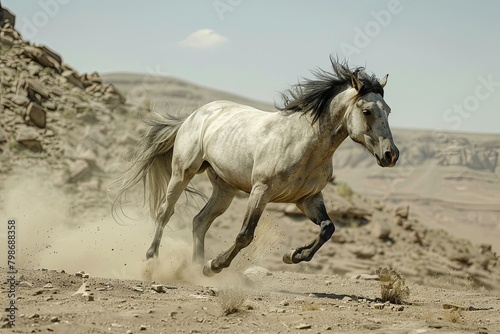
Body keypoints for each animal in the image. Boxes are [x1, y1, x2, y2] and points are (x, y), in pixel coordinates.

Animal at [112, 56, 398, 276]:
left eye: (388, 110)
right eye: (366, 111)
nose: (391, 155)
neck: (304, 143)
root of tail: (194, 115)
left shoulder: (308, 198)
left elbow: (328, 228)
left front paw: (292, 255)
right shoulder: (261, 191)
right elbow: (245, 235)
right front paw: (214, 266)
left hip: (225, 189)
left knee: (200, 221)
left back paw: (194, 267)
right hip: (183, 172)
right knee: (165, 212)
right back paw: (153, 259)